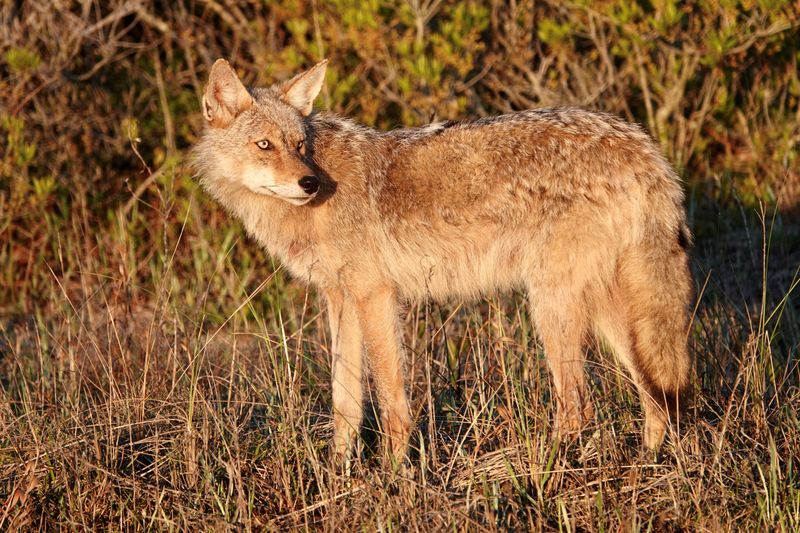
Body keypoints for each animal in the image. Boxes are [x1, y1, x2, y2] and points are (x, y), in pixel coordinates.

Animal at [193, 58, 693, 463]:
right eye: (264, 145)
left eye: (298, 145)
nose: (309, 183)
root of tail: (645, 147)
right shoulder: (340, 299)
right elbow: (345, 404)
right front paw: (339, 476)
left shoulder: (375, 296)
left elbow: (391, 401)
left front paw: (392, 479)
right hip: (609, 314)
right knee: (658, 396)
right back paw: (649, 463)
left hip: (552, 307)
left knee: (579, 406)